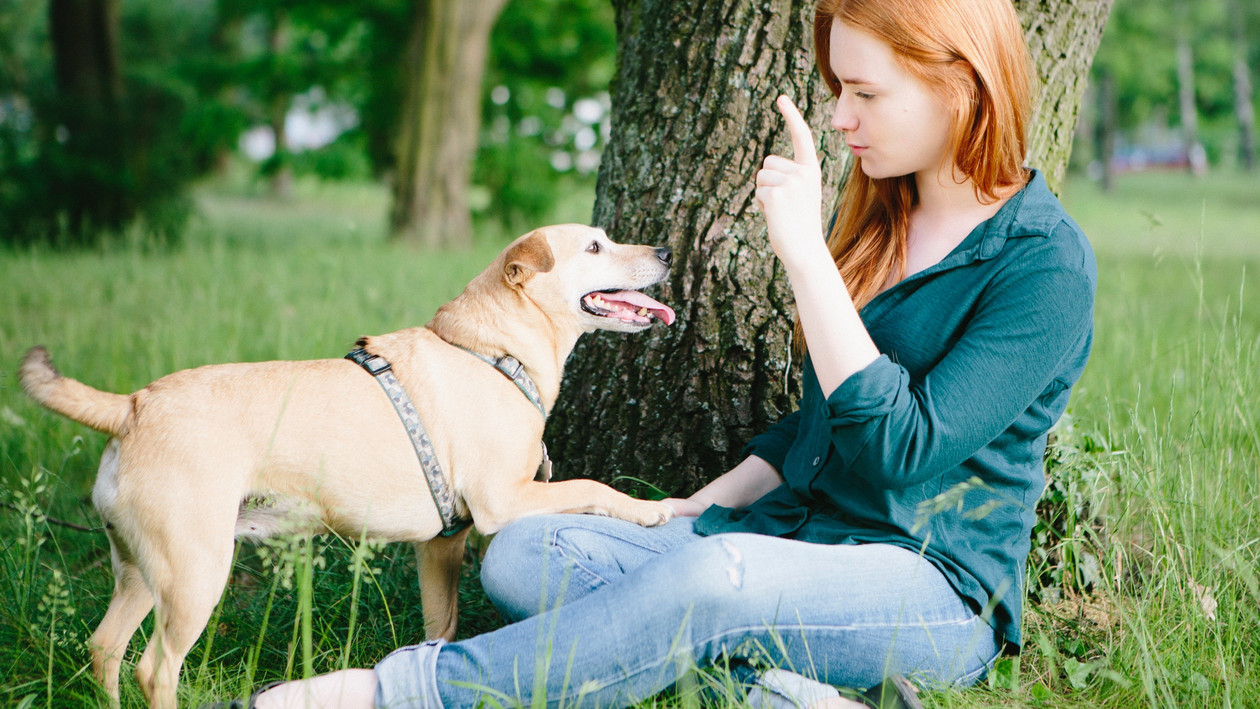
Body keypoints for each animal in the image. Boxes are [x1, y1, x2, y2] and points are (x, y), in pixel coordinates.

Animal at [17, 222, 680, 709]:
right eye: (595, 247)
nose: (667, 251)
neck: (493, 350)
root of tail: (132, 405)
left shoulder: (442, 545)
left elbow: (440, 628)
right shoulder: (505, 501)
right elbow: (595, 485)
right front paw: (656, 509)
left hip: (139, 570)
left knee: (104, 649)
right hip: (194, 574)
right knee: (155, 669)